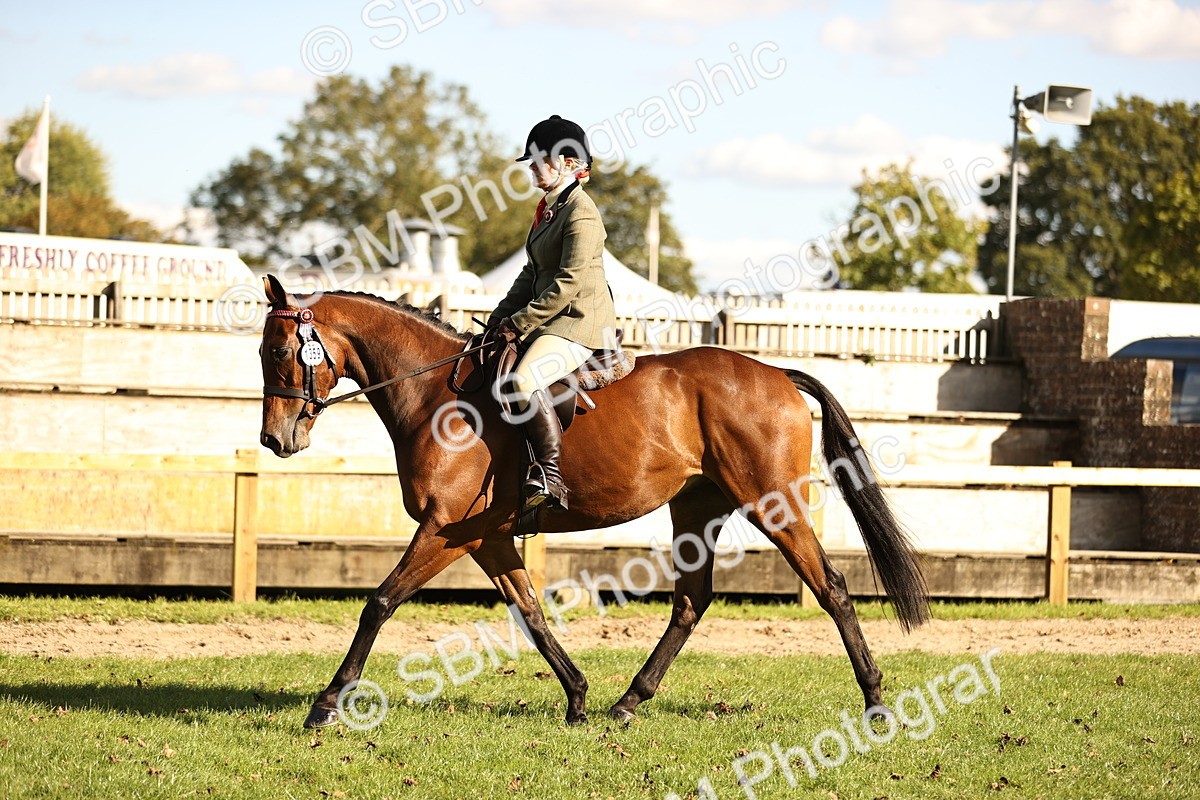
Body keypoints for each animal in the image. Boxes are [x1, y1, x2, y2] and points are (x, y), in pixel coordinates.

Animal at [256, 274, 929, 728]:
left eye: (282, 352)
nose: (276, 439)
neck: (435, 398)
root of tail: (776, 372)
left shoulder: (447, 531)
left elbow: (379, 602)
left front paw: (326, 704)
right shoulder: (487, 536)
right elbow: (530, 612)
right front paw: (577, 696)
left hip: (772, 503)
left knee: (831, 587)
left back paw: (875, 702)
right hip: (697, 507)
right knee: (692, 601)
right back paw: (627, 702)